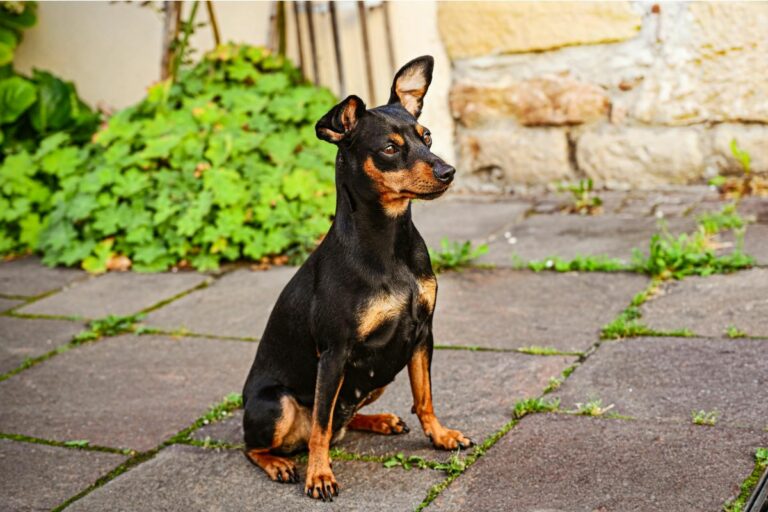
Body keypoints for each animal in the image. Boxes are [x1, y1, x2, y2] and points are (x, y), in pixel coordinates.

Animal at [243, 55, 472, 500]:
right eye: (390, 148)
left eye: (427, 137)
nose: (448, 171)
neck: (389, 244)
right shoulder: (334, 352)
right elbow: (320, 424)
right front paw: (319, 476)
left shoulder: (422, 334)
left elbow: (424, 397)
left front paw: (440, 436)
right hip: (276, 405)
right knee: (266, 442)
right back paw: (280, 463)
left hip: (377, 376)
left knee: (339, 420)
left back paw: (378, 420)